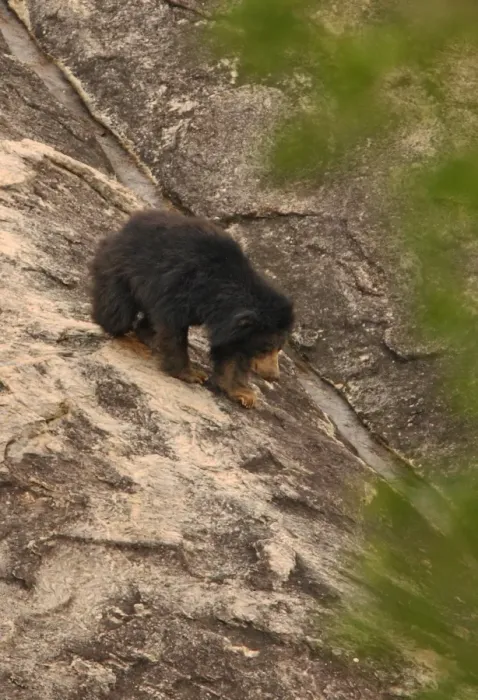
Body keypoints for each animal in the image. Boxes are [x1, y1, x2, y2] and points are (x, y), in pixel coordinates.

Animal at [90, 210, 294, 408]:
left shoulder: (232, 326)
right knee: (118, 311)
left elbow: (230, 352)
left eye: (279, 349)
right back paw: (111, 324)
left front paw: (243, 394)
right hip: (122, 268)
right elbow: (173, 328)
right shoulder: (183, 285)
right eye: (266, 348)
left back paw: (148, 337)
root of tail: (124, 227)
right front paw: (192, 375)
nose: (274, 376)